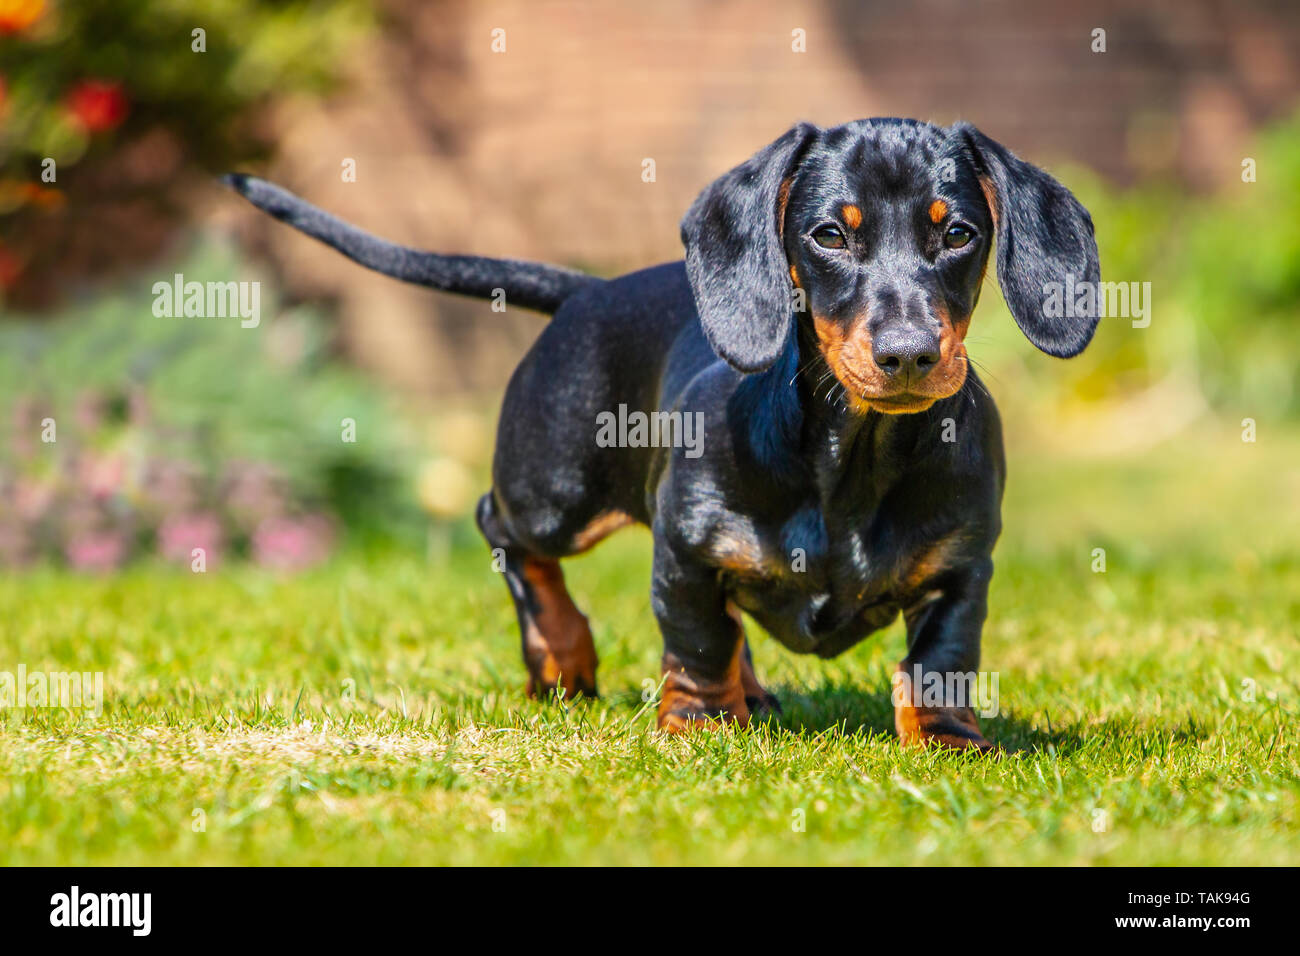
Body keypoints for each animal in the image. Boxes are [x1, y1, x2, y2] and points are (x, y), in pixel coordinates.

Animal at [223, 117, 1097, 749]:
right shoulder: (684, 547)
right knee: (501, 528)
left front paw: (949, 741)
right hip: (556, 496)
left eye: (958, 235)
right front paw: (704, 723)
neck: (854, 456)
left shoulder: (963, 567)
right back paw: (563, 657)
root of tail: (587, 290)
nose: (910, 354)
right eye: (829, 235)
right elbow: (699, 637)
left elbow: (942, 659)